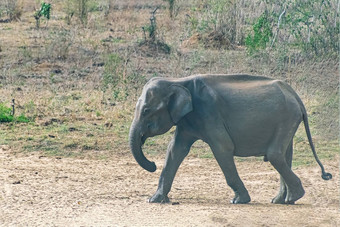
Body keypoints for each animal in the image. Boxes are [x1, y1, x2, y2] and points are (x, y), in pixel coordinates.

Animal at [128, 74, 332, 204]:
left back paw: (293, 197)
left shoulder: (209, 113)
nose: (152, 164)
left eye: (146, 111)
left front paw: (239, 201)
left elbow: (222, 148)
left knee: (275, 155)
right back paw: (281, 201)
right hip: (288, 120)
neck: (177, 81)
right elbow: (175, 150)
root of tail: (295, 95)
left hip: (287, 118)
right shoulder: (188, 121)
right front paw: (153, 200)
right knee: (284, 156)